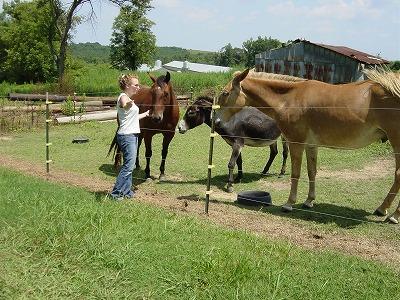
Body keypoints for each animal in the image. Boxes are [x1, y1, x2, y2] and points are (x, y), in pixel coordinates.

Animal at [217, 68, 400, 223]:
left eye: (225, 93)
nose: (217, 121)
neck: (288, 99)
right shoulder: (311, 145)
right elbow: (312, 172)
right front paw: (309, 201)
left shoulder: (295, 143)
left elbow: (296, 174)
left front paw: (289, 203)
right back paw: (383, 209)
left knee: (398, 174)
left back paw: (392, 215)